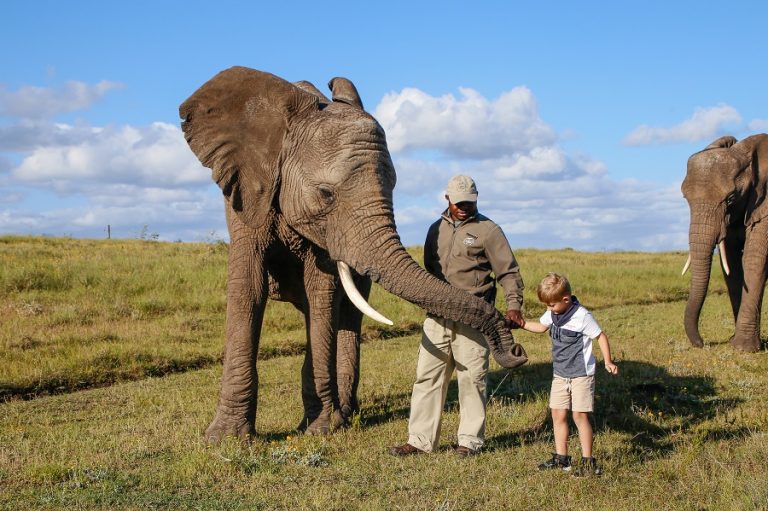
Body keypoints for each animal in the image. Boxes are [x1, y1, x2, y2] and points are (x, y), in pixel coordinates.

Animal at [179, 67, 528, 442]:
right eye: (326, 194)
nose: (516, 350)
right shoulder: (248, 193)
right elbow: (249, 288)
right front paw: (225, 438)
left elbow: (321, 293)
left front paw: (319, 430)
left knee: (347, 314)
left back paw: (344, 413)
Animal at [681, 133, 768, 352]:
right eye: (685, 198)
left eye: (730, 198)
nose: (702, 343)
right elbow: (732, 265)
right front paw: (734, 342)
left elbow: (754, 259)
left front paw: (744, 349)